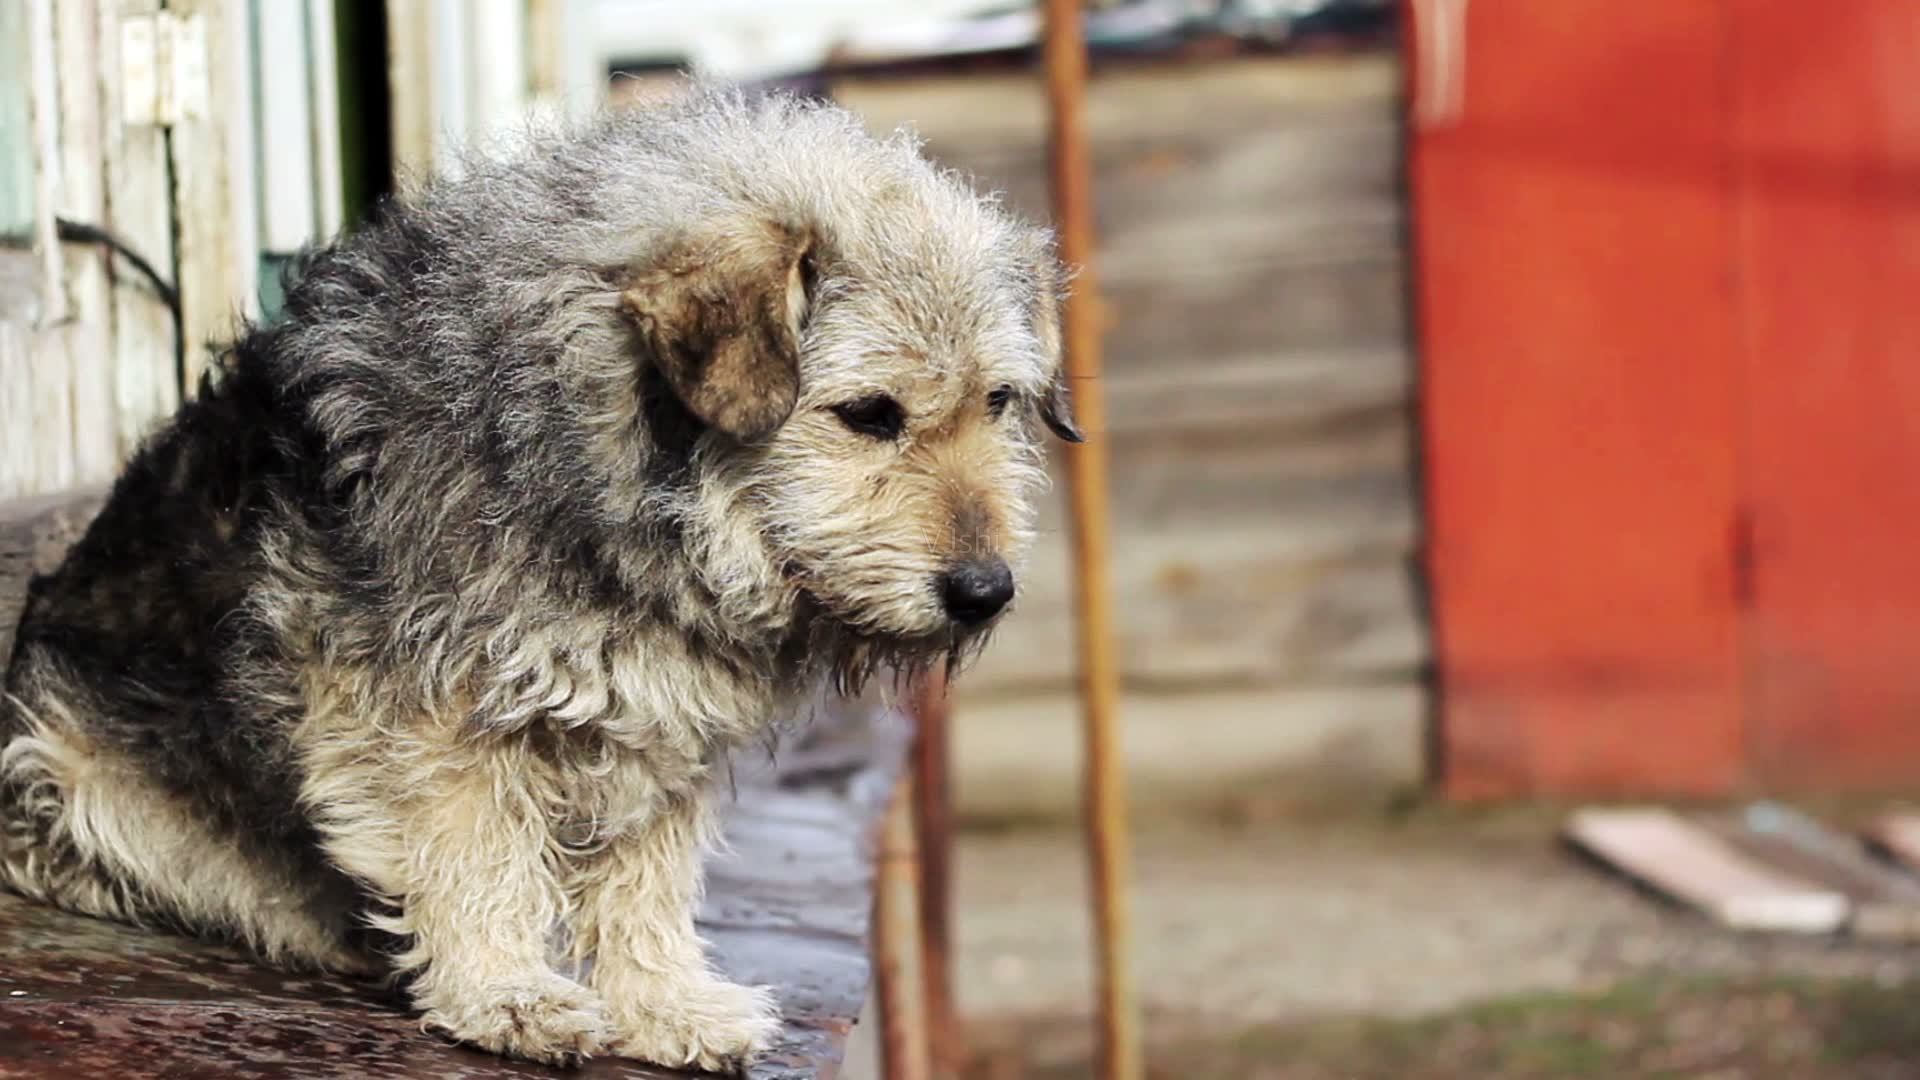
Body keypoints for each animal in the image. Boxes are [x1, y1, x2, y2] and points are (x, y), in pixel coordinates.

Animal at [0, 85, 1082, 1068]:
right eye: (868, 414)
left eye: (1000, 402)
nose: (985, 591)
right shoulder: (433, 707)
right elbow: (475, 850)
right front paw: (505, 993)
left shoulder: (661, 720)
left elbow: (646, 877)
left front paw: (663, 1002)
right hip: (66, 766)